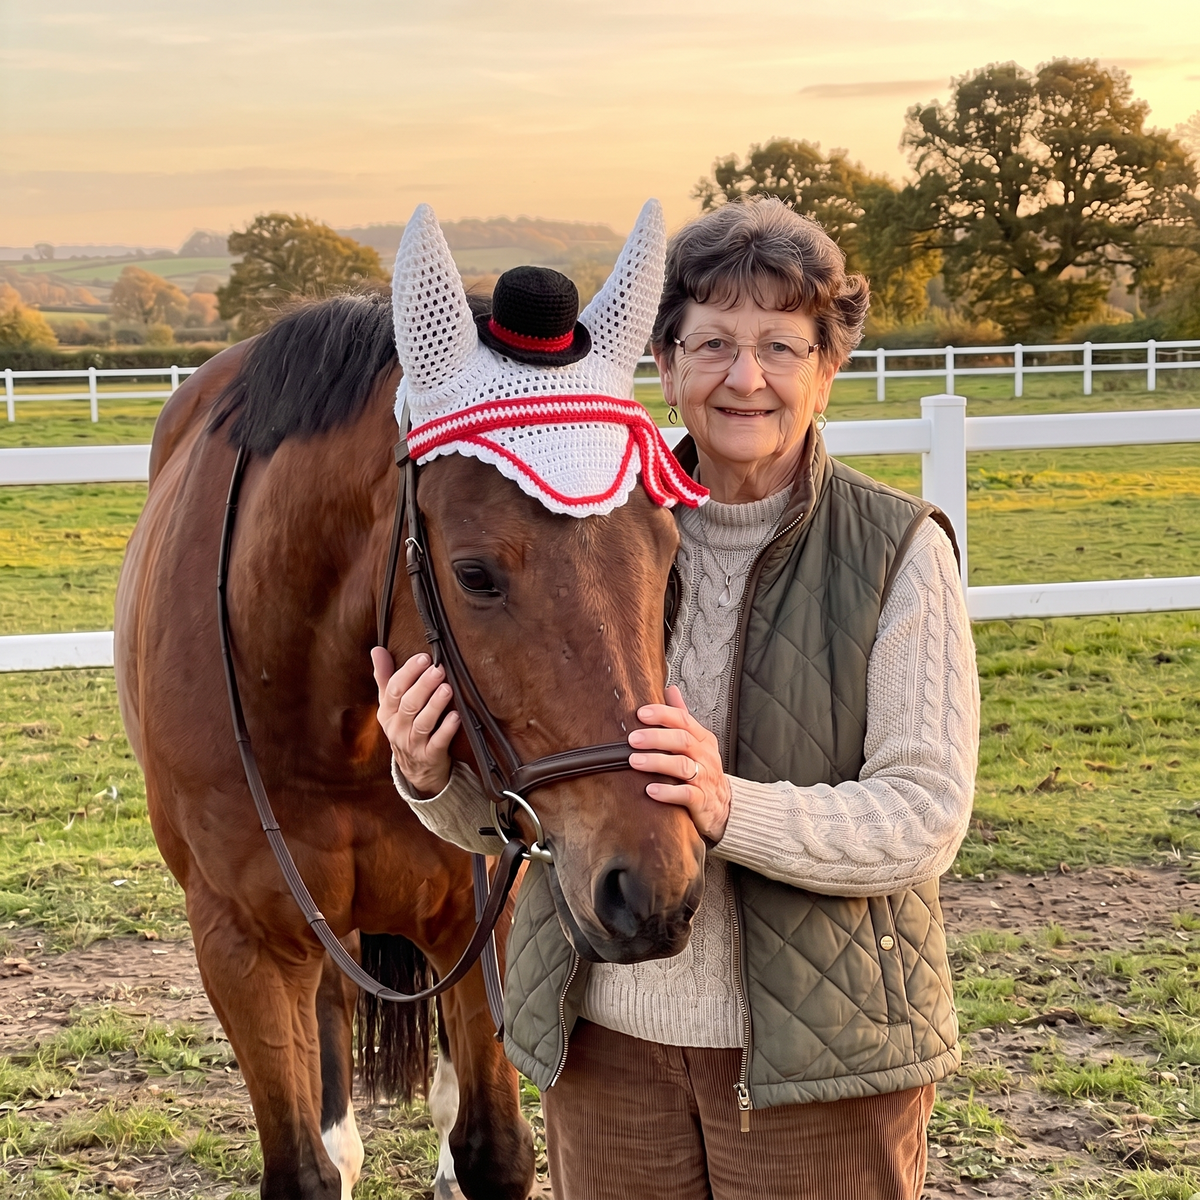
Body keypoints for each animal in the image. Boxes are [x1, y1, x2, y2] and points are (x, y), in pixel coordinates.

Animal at [114, 286, 706, 1198]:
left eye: (668, 553)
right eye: (474, 574)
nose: (652, 889)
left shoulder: (477, 914)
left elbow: (494, 1149)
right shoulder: (242, 945)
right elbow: (304, 1171)